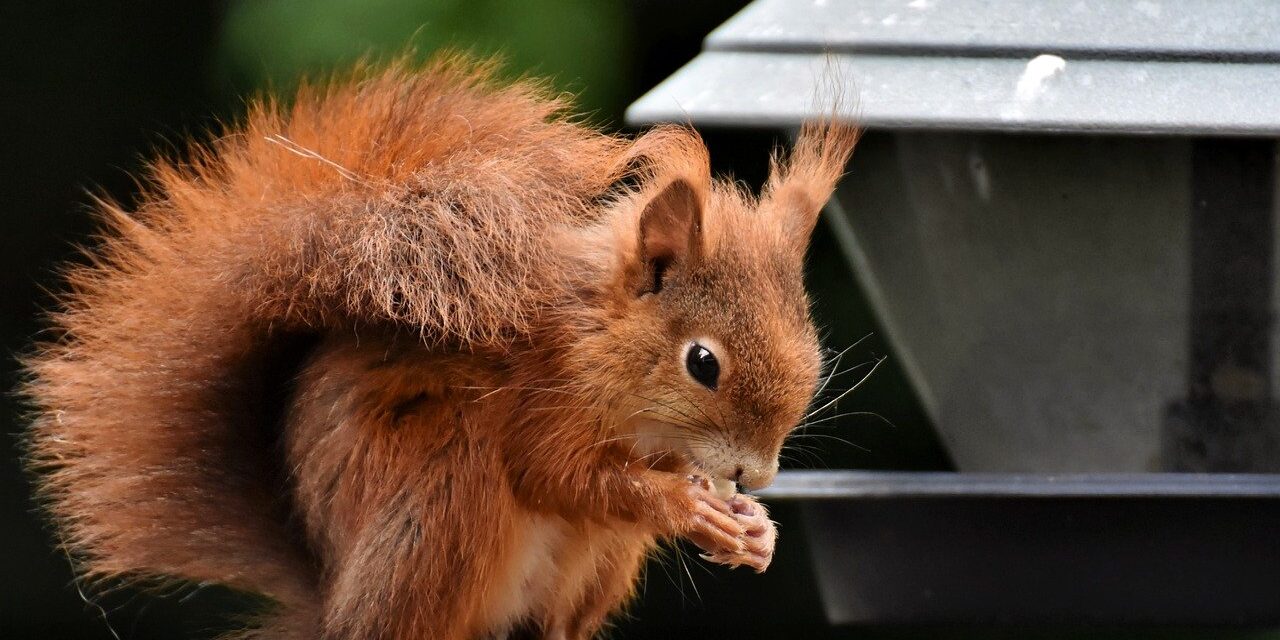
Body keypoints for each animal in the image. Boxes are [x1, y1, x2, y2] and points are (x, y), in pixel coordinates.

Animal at [22, 54, 858, 640]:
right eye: (702, 363)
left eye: (811, 355)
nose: (756, 473)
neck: (600, 339)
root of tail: (338, 602)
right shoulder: (540, 394)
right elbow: (558, 475)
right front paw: (686, 506)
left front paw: (755, 532)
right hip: (442, 498)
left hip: (598, 563)